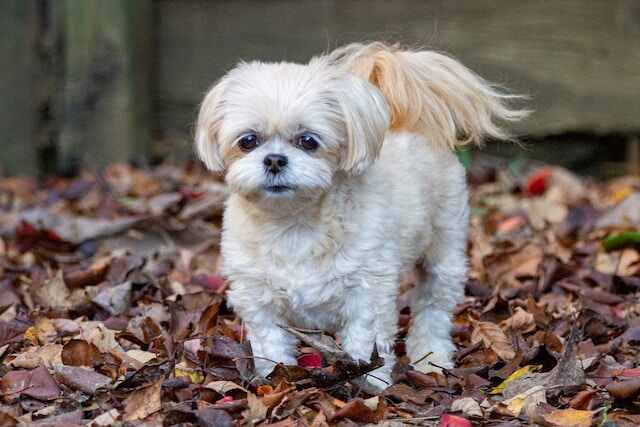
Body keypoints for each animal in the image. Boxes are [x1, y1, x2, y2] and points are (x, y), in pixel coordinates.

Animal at [195, 42, 524, 392]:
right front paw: (275, 378)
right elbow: (271, 343)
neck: (294, 225)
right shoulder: (257, 298)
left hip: (444, 250)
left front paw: (370, 385)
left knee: (433, 308)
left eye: (308, 140)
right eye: (248, 140)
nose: (273, 160)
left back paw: (431, 356)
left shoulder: (368, 293)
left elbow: (366, 341)